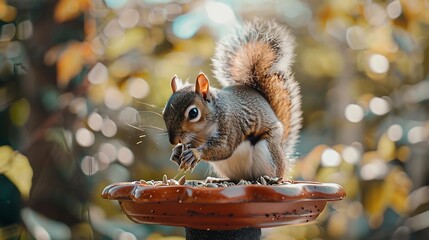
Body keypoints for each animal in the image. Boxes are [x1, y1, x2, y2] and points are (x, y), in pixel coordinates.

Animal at [161, 19, 300, 181]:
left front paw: (195, 154)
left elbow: (224, 148)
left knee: (274, 172)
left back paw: (269, 179)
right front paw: (176, 152)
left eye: (193, 113)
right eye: (164, 112)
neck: (202, 133)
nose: (173, 141)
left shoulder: (231, 125)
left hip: (268, 149)